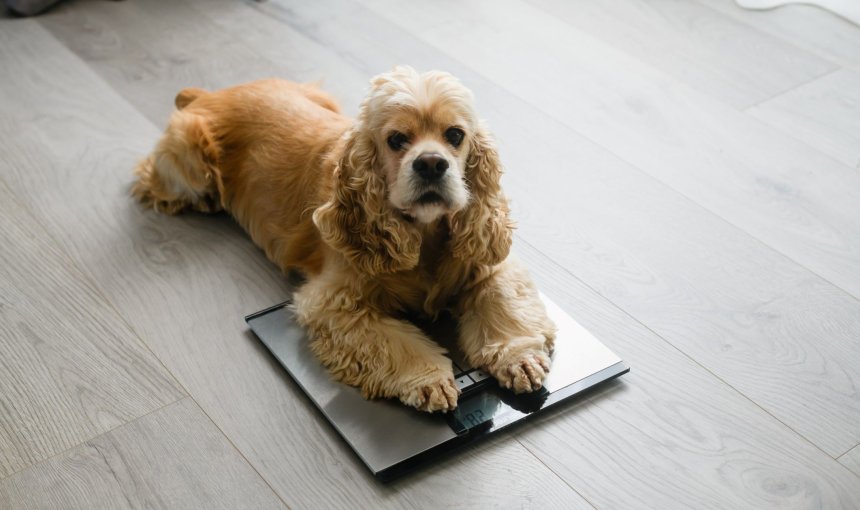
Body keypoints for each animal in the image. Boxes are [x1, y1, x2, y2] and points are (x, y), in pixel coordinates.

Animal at [131, 65, 556, 412]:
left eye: (455, 135)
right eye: (396, 139)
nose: (432, 164)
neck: (423, 234)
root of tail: (209, 93)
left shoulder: (488, 263)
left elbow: (501, 300)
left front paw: (518, 356)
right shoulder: (332, 303)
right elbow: (390, 340)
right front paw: (429, 380)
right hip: (190, 158)